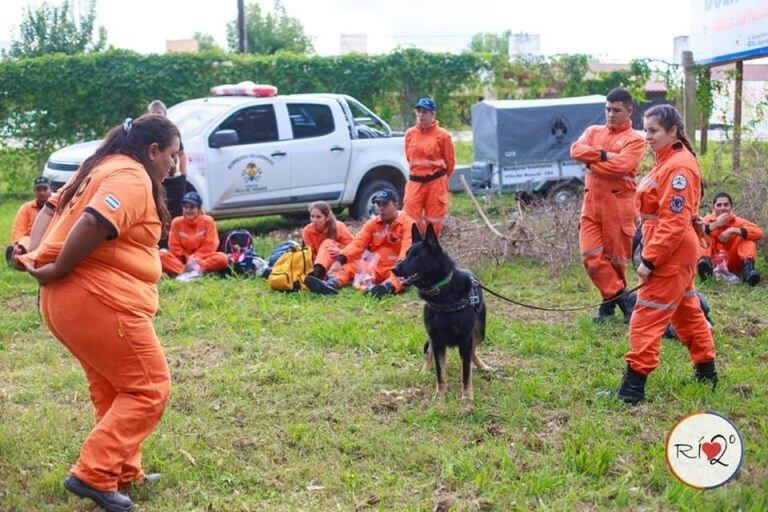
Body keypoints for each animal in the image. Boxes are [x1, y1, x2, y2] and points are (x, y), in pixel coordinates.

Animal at [392, 224, 488, 400]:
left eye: (417, 256)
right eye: (406, 254)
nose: (393, 269)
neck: (443, 293)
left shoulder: (465, 339)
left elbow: (466, 373)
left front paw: (466, 396)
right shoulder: (437, 340)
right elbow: (439, 372)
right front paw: (440, 395)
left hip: (479, 332)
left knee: (473, 352)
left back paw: (482, 366)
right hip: (433, 338)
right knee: (429, 352)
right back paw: (424, 370)